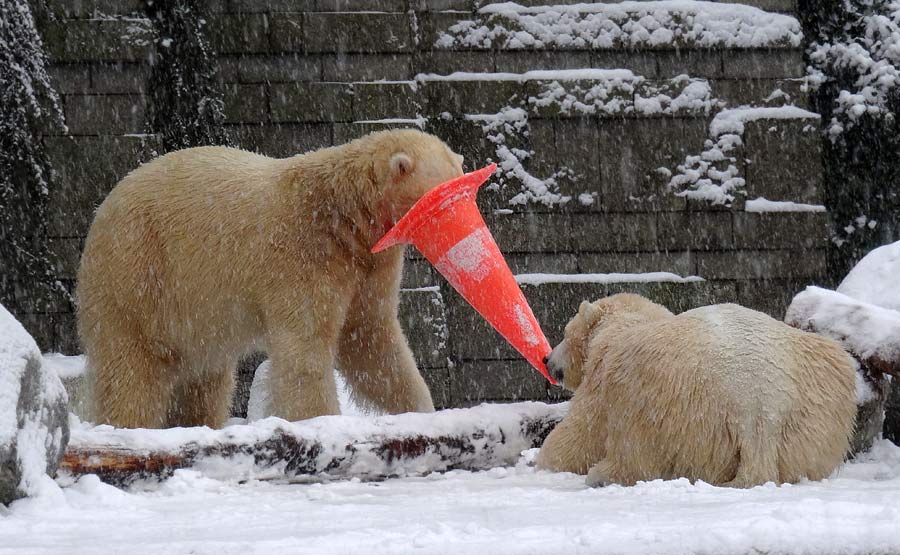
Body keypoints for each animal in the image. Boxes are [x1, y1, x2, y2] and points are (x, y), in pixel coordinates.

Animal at [77, 130, 464, 430]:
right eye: (440, 192)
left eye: (460, 176)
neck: (342, 216)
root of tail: (101, 211)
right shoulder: (303, 256)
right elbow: (306, 348)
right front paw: (319, 421)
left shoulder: (368, 266)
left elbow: (370, 339)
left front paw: (423, 410)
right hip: (138, 272)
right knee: (132, 368)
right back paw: (128, 425)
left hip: (192, 314)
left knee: (204, 379)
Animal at [536, 294, 856, 488]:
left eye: (564, 333)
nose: (547, 360)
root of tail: (758, 414)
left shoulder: (604, 374)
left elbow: (578, 436)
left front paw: (543, 459)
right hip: (817, 402)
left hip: (662, 396)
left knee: (635, 451)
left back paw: (602, 474)